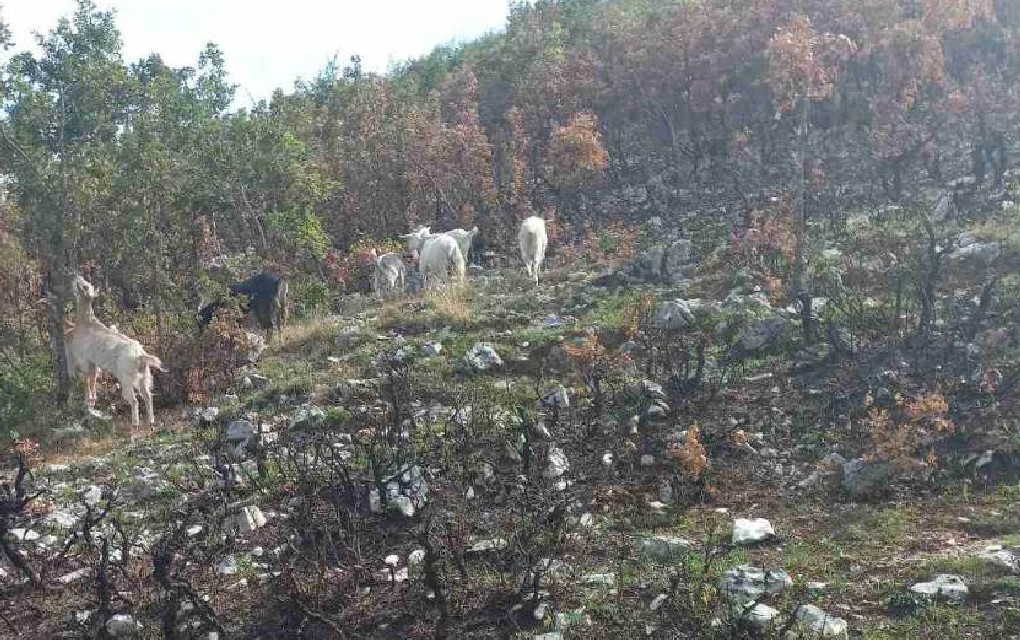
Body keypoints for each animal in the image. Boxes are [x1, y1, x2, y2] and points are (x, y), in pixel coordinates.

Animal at [62, 275, 164, 430]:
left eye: (84, 285)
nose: (76, 276)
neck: (86, 323)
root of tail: (140, 355)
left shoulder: (85, 360)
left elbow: (86, 381)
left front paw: (87, 400)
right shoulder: (93, 364)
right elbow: (92, 380)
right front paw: (92, 401)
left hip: (126, 378)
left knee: (134, 400)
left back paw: (135, 423)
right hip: (144, 377)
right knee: (148, 396)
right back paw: (151, 421)